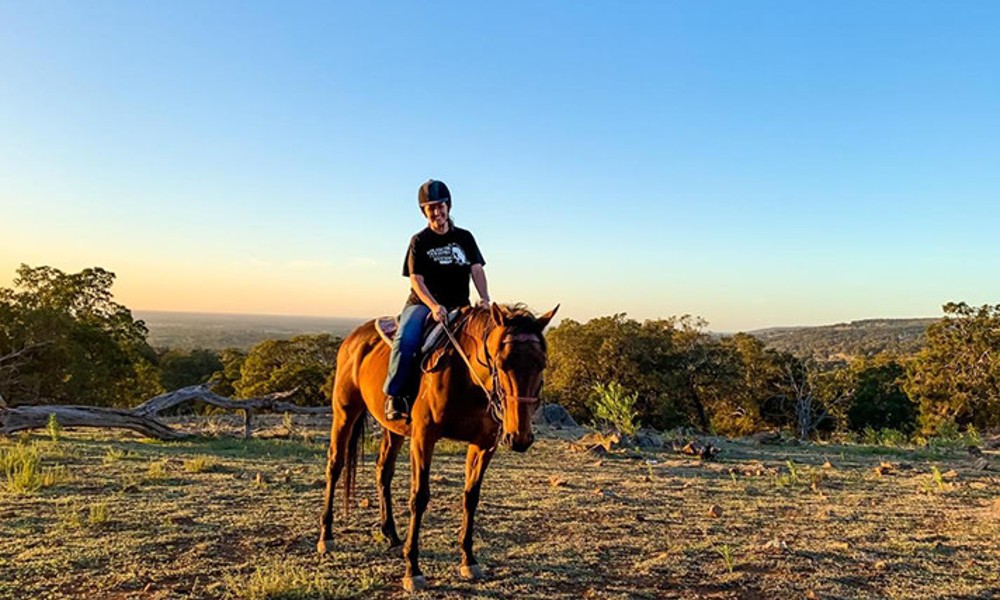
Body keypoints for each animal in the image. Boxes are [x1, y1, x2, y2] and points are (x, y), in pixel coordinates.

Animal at [318, 302, 560, 588]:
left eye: (542, 363)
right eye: (501, 362)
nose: (519, 437)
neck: (467, 379)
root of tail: (354, 338)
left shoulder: (484, 444)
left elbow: (471, 497)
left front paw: (469, 560)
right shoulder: (424, 438)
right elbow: (419, 497)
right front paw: (412, 569)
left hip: (393, 429)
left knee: (383, 471)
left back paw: (391, 535)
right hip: (345, 412)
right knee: (335, 465)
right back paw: (326, 536)